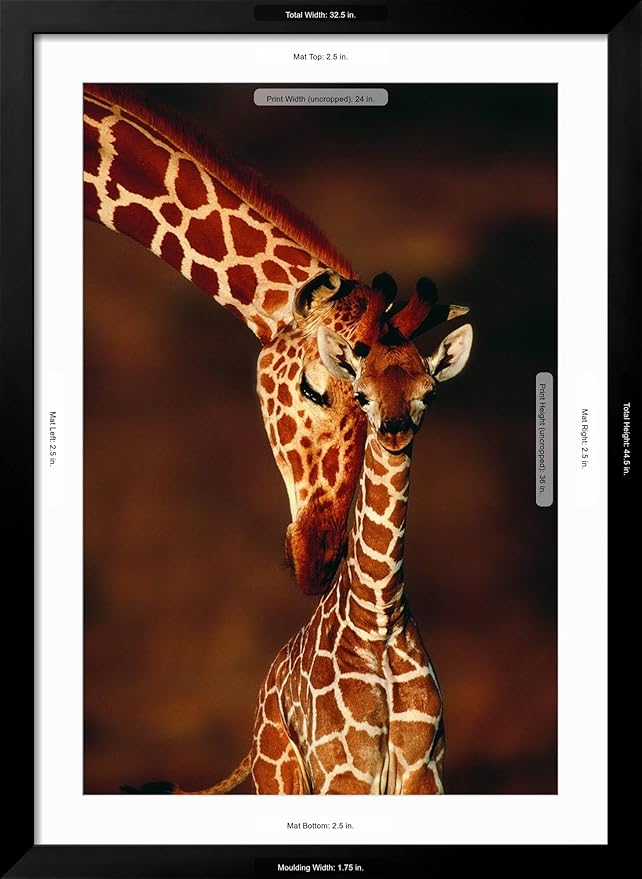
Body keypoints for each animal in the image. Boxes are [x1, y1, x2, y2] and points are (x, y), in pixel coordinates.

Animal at [146, 290, 473, 796]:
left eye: (429, 392)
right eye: (361, 393)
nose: (395, 429)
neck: (379, 617)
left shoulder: (425, 772)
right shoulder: (346, 773)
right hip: (280, 775)